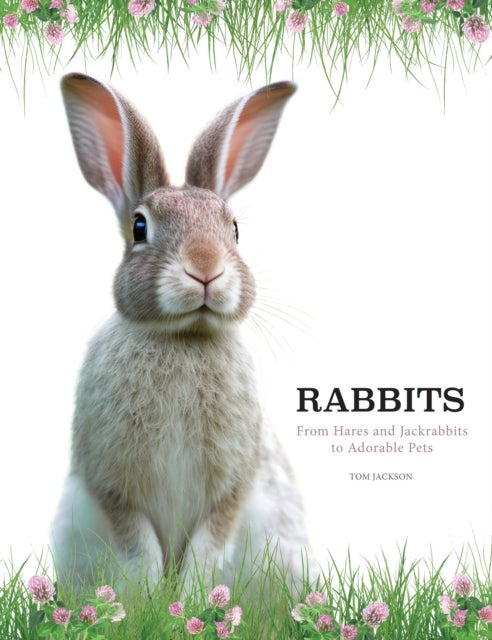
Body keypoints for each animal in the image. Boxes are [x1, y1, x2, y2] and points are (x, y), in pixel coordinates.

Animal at [50, 73, 314, 593]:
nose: (205, 268)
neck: (183, 338)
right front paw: (152, 599)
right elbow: (140, 549)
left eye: (234, 230)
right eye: (139, 226)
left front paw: (189, 600)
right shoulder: (112, 487)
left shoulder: (231, 488)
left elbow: (207, 549)